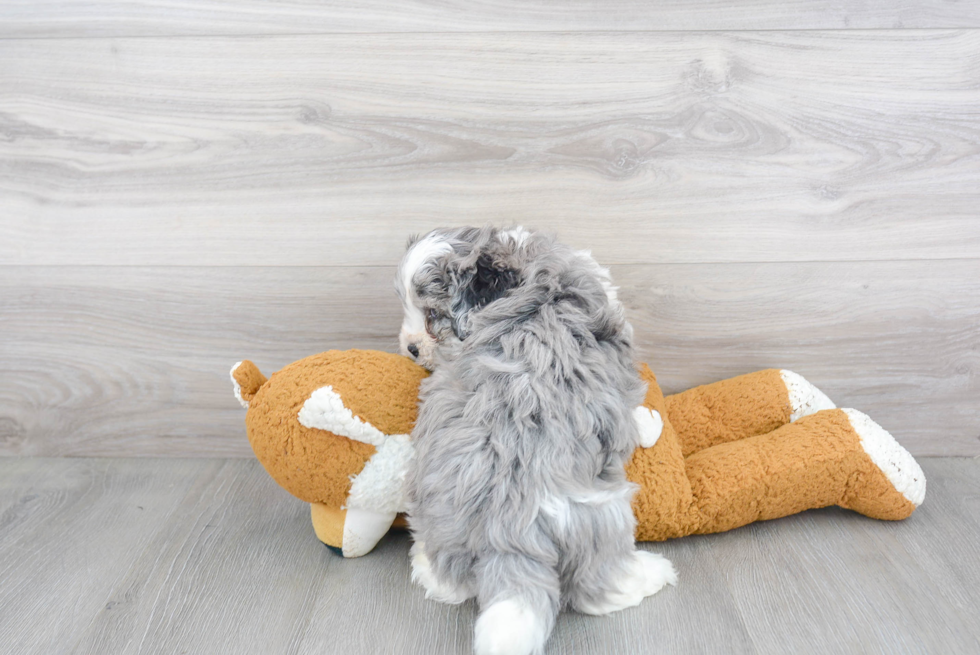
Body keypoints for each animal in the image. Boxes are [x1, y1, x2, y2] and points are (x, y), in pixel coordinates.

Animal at [394, 227, 676, 655]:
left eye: (431, 318)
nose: (411, 349)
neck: (526, 268)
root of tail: (506, 522)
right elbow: (634, 412)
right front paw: (650, 423)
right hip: (601, 518)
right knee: (599, 585)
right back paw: (653, 573)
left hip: (440, 514)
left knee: (452, 576)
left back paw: (429, 570)